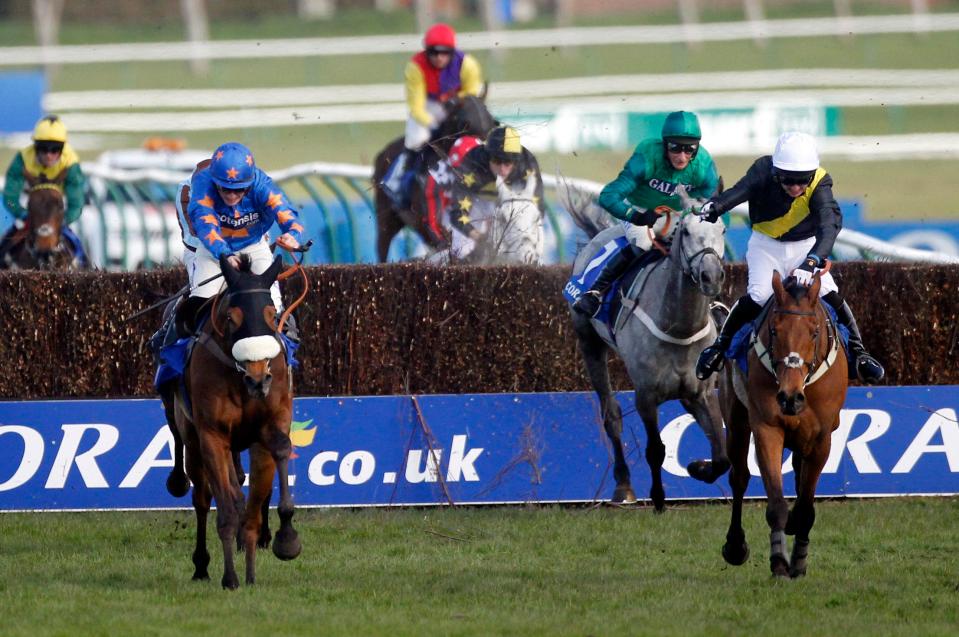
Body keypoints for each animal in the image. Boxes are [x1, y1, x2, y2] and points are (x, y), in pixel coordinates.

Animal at [162, 253, 300, 588]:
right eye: (230, 317)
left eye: (271, 313)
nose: (258, 379)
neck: (239, 379)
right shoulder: (213, 436)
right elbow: (226, 509)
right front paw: (231, 577)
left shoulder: (271, 423)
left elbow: (277, 456)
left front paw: (284, 539)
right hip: (192, 442)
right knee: (202, 498)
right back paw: (201, 565)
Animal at [568, 194, 732, 512]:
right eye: (686, 232)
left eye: (722, 231)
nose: (711, 276)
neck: (679, 327)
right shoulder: (646, 394)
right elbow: (656, 449)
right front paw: (657, 499)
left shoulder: (701, 393)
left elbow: (722, 454)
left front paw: (697, 467)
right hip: (589, 344)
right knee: (611, 415)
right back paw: (623, 486)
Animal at [720, 270, 848, 580]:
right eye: (775, 331)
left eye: (814, 332)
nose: (790, 398)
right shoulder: (767, 429)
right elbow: (776, 504)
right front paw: (779, 561)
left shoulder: (821, 438)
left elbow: (805, 508)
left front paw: (799, 561)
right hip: (736, 420)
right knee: (739, 477)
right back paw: (735, 546)